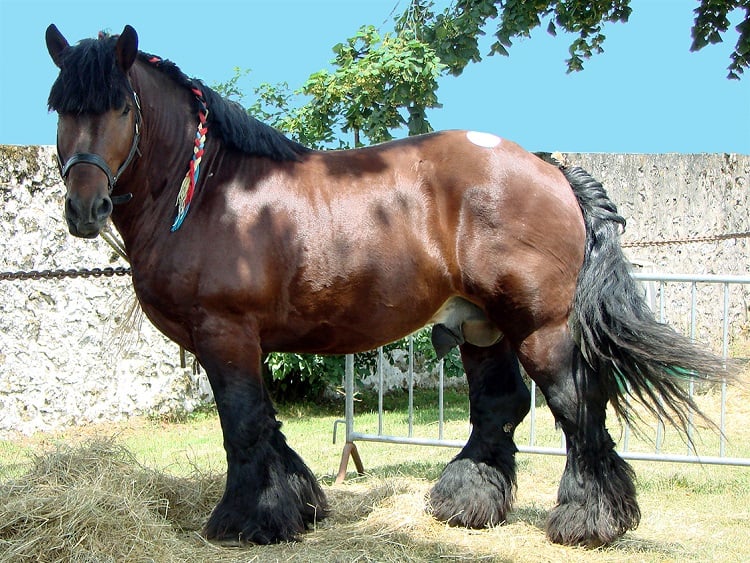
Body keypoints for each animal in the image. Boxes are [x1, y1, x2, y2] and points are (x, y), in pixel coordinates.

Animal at [44, 24, 732, 548]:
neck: (213, 190)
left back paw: (589, 520)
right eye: (60, 108)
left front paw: (248, 521)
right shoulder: (250, 342)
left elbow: (242, 425)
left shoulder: (225, 332)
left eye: (119, 106)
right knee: (500, 406)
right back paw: (467, 501)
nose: (84, 207)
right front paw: (298, 505)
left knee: (576, 406)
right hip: (481, 325)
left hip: (541, 328)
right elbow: (268, 425)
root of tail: (548, 168)